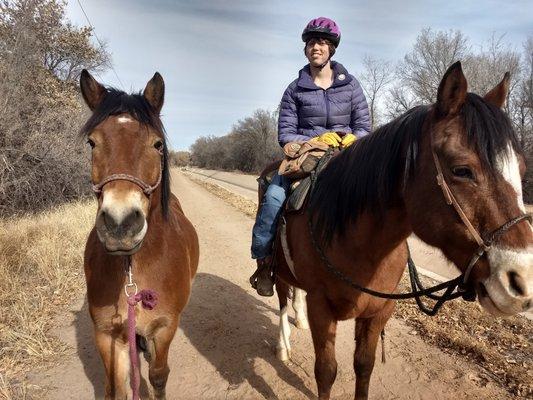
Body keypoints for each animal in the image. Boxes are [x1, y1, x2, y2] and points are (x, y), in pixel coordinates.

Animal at [81, 70, 200, 398]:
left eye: (157, 144)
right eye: (92, 143)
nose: (120, 224)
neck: (133, 267)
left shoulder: (165, 328)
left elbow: (158, 376)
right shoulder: (107, 335)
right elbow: (116, 388)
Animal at [268, 61, 528, 398]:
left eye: (521, 170)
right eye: (461, 170)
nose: (522, 281)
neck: (360, 246)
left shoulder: (379, 312)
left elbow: (363, 367)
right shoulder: (322, 309)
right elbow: (326, 372)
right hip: (278, 270)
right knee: (282, 299)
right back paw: (283, 346)